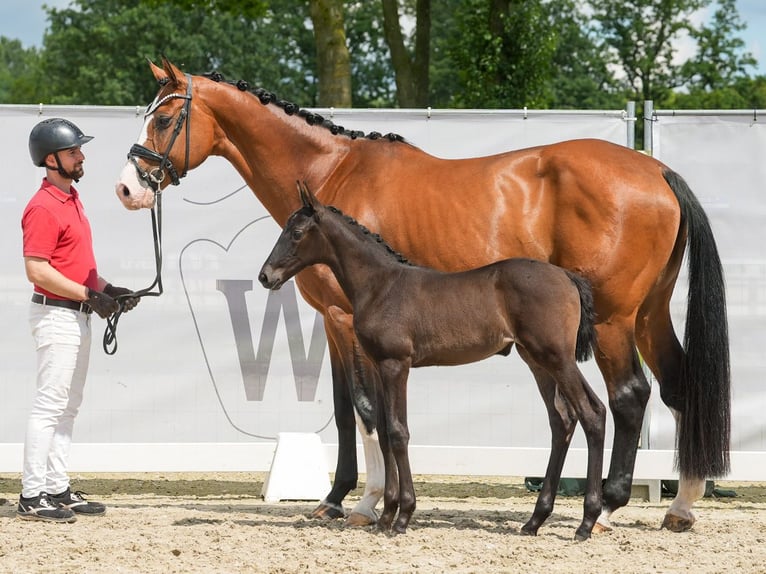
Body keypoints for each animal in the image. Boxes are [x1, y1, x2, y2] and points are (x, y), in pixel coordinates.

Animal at [260, 182, 608, 544]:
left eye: (296, 232)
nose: (265, 276)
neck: (380, 285)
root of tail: (568, 277)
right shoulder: (379, 366)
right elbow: (384, 431)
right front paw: (387, 515)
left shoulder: (396, 365)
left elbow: (398, 432)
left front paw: (402, 516)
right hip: (538, 361)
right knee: (562, 421)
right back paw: (535, 520)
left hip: (558, 358)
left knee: (592, 413)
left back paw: (587, 522)